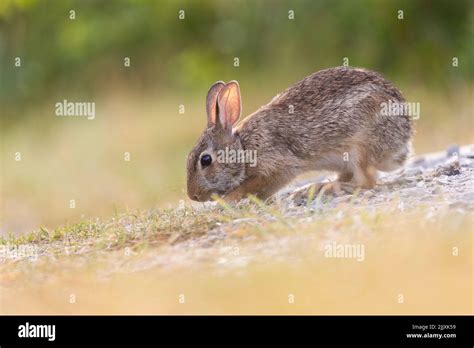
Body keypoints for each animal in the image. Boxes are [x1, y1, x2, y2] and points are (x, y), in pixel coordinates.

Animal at [187, 66, 412, 203]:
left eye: (205, 160)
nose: (193, 196)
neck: (243, 147)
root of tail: (404, 139)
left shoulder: (278, 165)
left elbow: (256, 186)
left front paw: (229, 199)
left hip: (361, 146)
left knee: (367, 182)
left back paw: (326, 187)